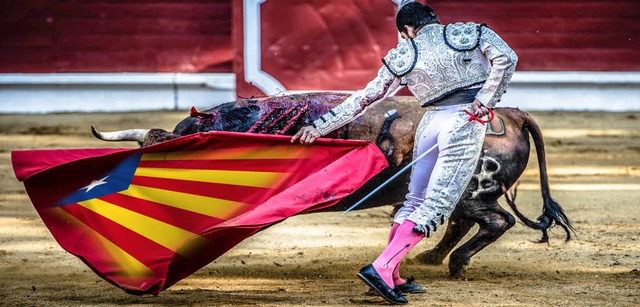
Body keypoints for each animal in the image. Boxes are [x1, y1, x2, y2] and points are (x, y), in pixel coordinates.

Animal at [91, 91, 576, 280]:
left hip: (474, 190)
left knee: (494, 221)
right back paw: (434, 258)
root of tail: (509, 112)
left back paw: (454, 263)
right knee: (459, 222)